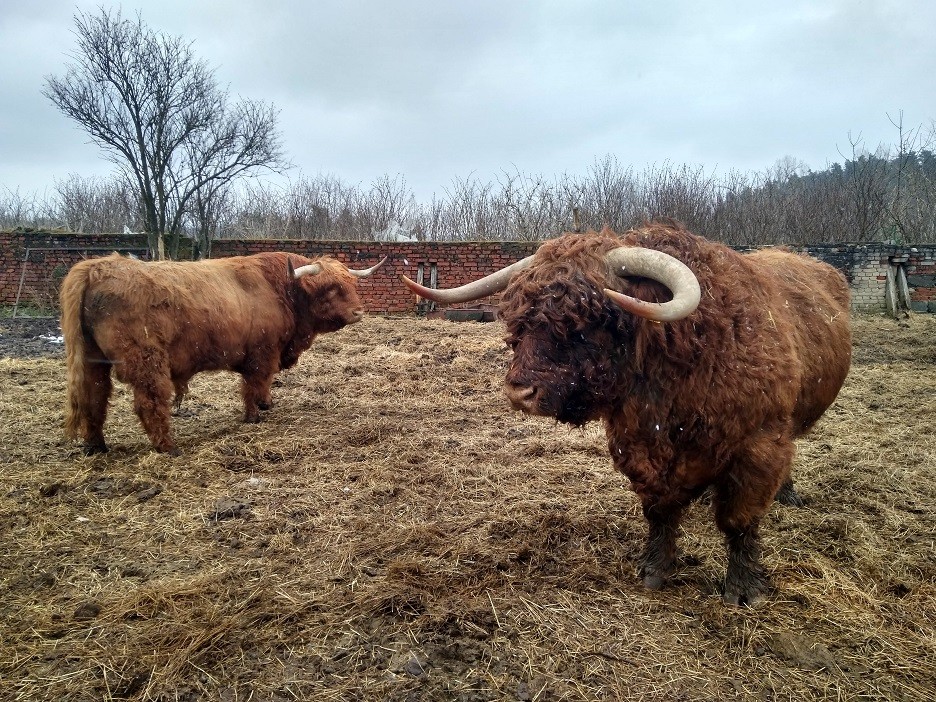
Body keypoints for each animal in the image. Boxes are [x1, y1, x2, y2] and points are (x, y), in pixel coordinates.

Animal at [61, 251, 386, 456]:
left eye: (351, 284)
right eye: (330, 288)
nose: (359, 312)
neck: (282, 290)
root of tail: (95, 268)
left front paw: (266, 404)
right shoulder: (262, 352)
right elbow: (254, 384)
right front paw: (255, 414)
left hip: (93, 361)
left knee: (93, 399)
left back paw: (96, 446)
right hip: (146, 361)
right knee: (149, 403)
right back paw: (168, 447)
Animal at [402, 221, 852, 605]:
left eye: (584, 322)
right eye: (519, 323)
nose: (518, 391)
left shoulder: (758, 448)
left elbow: (739, 520)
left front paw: (743, 589)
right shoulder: (636, 446)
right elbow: (659, 511)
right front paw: (654, 569)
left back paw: (787, 493)